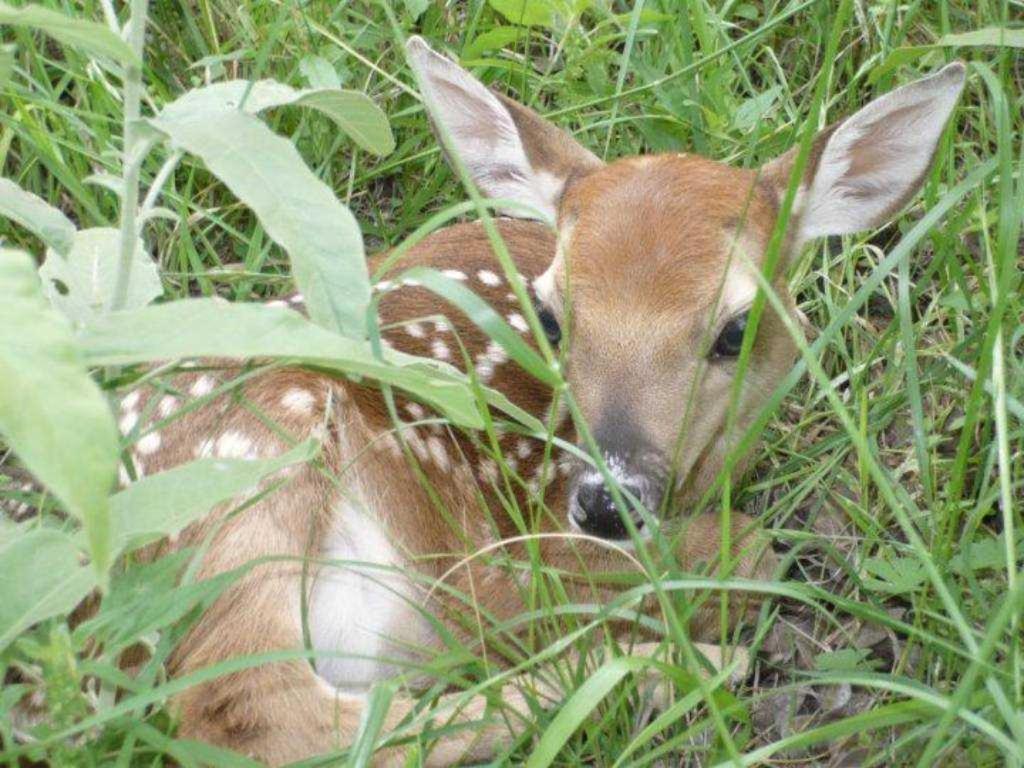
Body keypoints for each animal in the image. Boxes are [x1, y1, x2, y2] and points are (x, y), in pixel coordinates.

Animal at [99, 37, 962, 768]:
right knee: (259, 714)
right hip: (249, 465)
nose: (607, 502)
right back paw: (672, 672)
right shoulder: (517, 540)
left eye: (737, 329)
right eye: (549, 314)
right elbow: (745, 549)